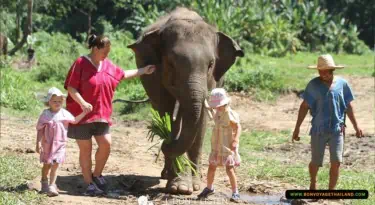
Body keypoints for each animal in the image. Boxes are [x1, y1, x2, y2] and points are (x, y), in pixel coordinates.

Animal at [127, 7, 244, 195]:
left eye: (211, 64)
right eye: (171, 63)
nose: (165, 144)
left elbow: (200, 120)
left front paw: (193, 185)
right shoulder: (156, 76)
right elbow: (169, 115)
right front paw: (179, 187)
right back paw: (167, 173)